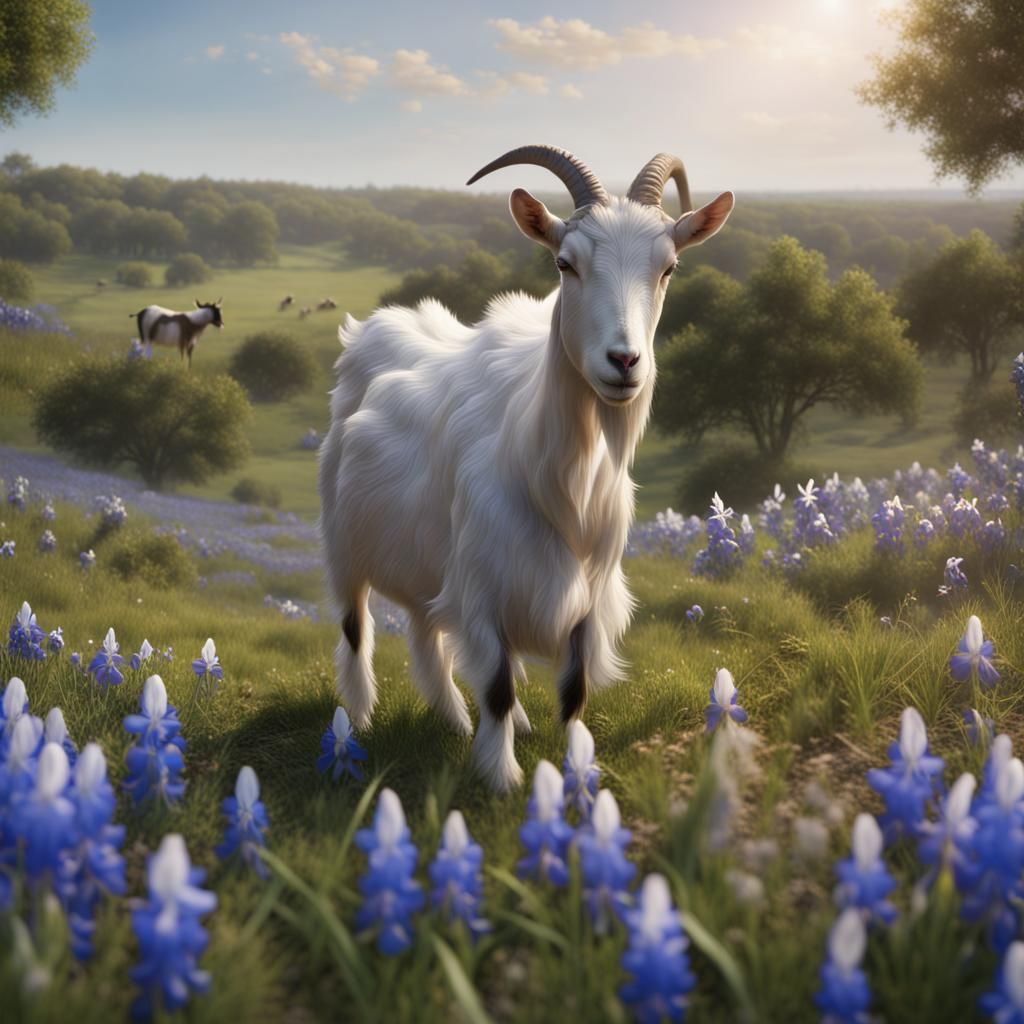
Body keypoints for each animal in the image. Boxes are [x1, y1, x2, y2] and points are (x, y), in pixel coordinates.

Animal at [319, 146, 734, 791]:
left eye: (668, 269)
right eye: (565, 263)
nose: (624, 361)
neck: (562, 486)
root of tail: (369, 331)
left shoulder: (586, 597)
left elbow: (574, 691)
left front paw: (574, 772)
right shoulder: (485, 584)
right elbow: (495, 685)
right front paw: (502, 776)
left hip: (426, 555)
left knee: (424, 630)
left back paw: (453, 719)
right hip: (343, 540)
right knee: (356, 627)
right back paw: (359, 718)